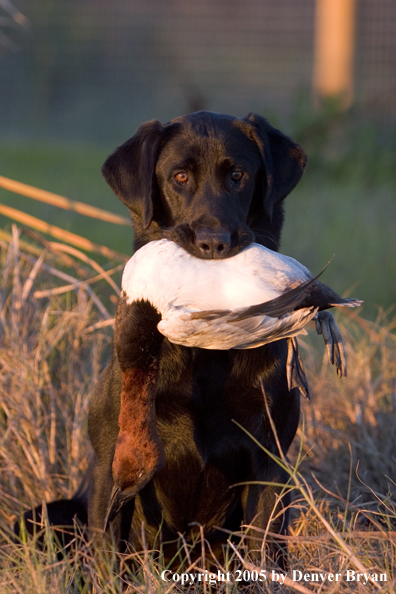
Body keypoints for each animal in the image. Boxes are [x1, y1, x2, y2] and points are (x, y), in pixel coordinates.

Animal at [17, 110, 310, 564]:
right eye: (180, 177)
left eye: (238, 175)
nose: (213, 242)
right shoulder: (109, 467)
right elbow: (107, 558)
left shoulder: (270, 465)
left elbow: (262, 554)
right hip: (45, 513)